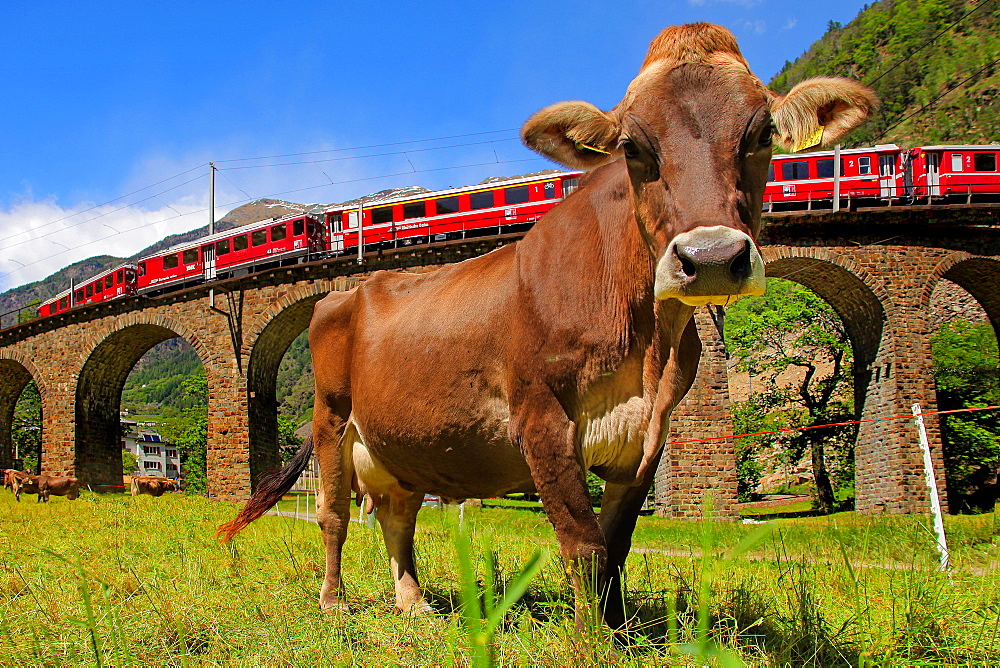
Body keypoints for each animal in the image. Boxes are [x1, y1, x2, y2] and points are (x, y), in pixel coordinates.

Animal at [219, 20, 876, 628]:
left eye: (763, 135)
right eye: (634, 147)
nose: (712, 256)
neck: (647, 345)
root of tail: (345, 292)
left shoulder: (650, 433)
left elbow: (616, 548)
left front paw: (616, 629)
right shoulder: (540, 416)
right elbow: (582, 545)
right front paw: (592, 642)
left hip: (394, 442)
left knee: (398, 516)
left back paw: (413, 602)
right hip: (331, 417)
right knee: (333, 515)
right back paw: (334, 601)